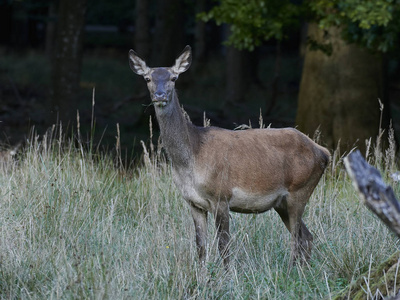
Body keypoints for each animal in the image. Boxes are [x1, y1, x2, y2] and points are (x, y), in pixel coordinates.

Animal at [129, 45, 332, 266]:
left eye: (174, 78)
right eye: (147, 78)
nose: (159, 95)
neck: (190, 158)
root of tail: (324, 152)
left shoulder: (221, 196)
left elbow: (223, 246)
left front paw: (226, 275)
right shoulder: (193, 202)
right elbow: (200, 247)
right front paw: (201, 275)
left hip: (300, 189)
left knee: (297, 239)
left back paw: (291, 270)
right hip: (282, 203)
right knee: (307, 236)